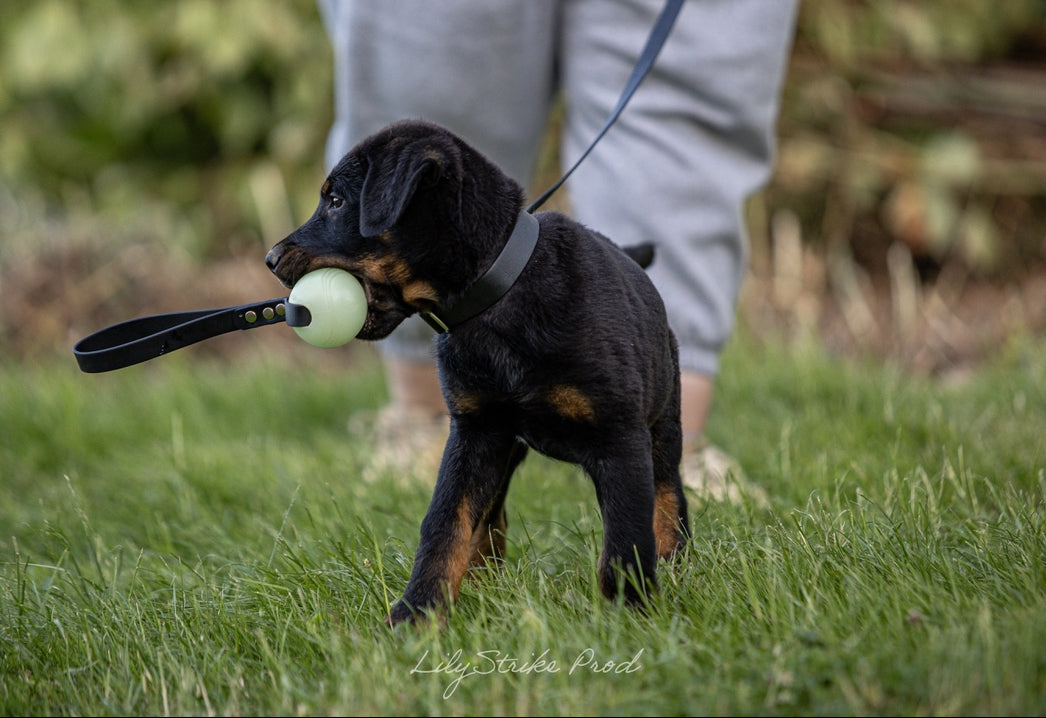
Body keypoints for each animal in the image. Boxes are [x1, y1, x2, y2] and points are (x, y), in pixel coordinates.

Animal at [265, 120, 690, 627]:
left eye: (336, 201)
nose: (270, 258)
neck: (496, 296)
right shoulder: (474, 431)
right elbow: (446, 522)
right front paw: (416, 614)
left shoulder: (619, 435)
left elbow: (626, 538)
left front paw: (631, 614)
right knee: (491, 515)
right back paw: (486, 581)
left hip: (662, 420)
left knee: (668, 496)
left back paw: (676, 565)